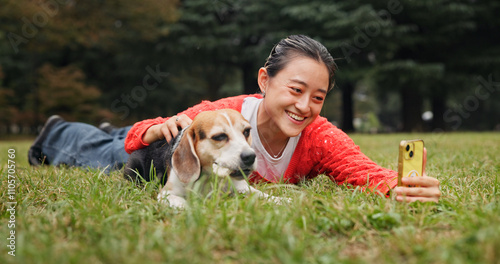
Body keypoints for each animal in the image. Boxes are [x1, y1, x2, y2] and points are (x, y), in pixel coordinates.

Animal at [123, 108, 288, 207]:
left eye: (246, 131)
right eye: (219, 136)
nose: (250, 157)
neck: (210, 177)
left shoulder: (241, 187)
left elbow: (262, 194)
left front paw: (283, 200)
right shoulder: (166, 194)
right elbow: (182, 203)